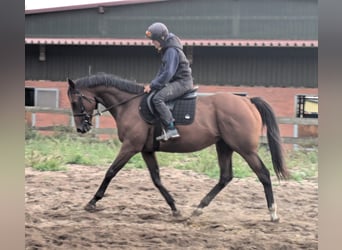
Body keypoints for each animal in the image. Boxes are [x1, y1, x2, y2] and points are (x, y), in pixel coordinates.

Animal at [67, 73, 288, 223]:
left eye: (75, 101)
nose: (81, 128)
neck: (129, 105)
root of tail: (247, 101)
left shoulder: (130, 146)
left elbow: (110, 171)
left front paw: (93, 201)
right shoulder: (146, 150)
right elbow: (156, 179)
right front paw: (174, 208)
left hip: (245, 149)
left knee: (263, 174)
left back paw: (273, 213)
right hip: (224, 146)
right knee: (225, 177)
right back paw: (199, 208)